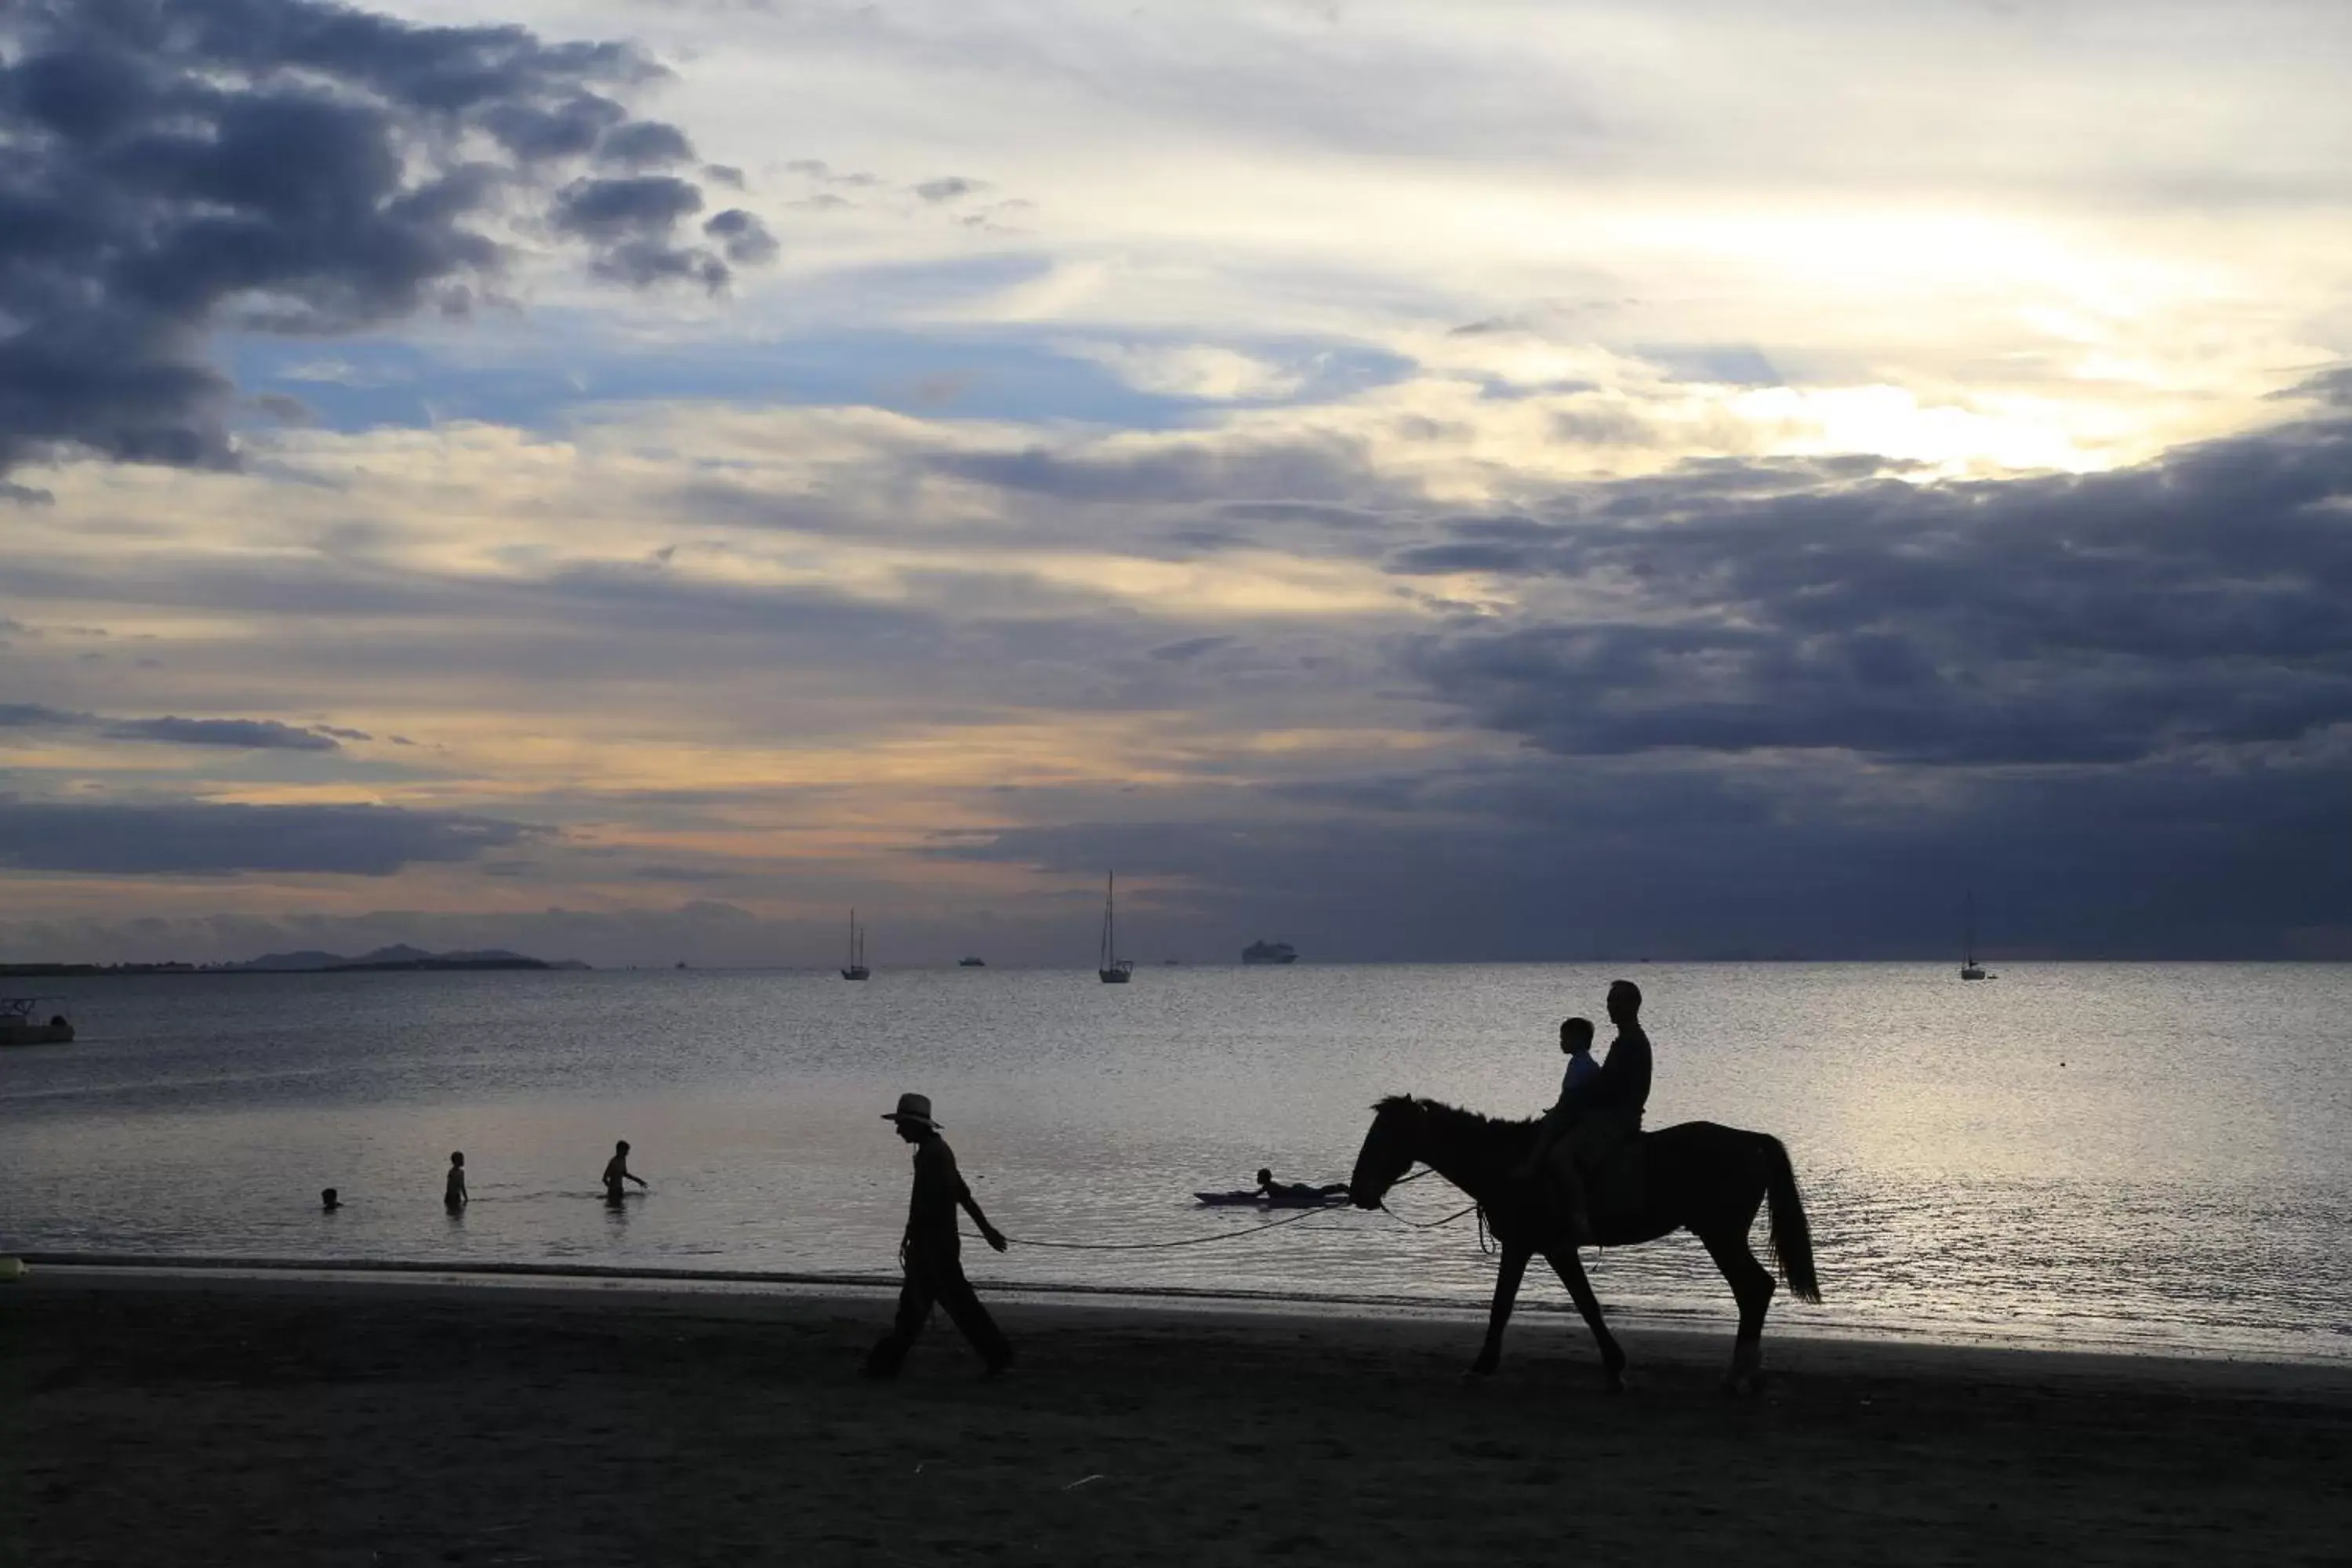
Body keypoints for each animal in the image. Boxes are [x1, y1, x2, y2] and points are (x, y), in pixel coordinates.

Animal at [1345, 1100, 1816, 1392]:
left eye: (1385, 1136)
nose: (1358, 1191)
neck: (1511, 1164)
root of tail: (1751, 1139)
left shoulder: (1543, 1246)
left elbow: (1557, 1305)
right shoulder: (1536, 1247)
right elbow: (1535, 1304)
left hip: (1720, 1235)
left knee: (1754, 1290)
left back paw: (1738, 1376)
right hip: (1722, 1236)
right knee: (1755, 1291)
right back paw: (1747, 1375)